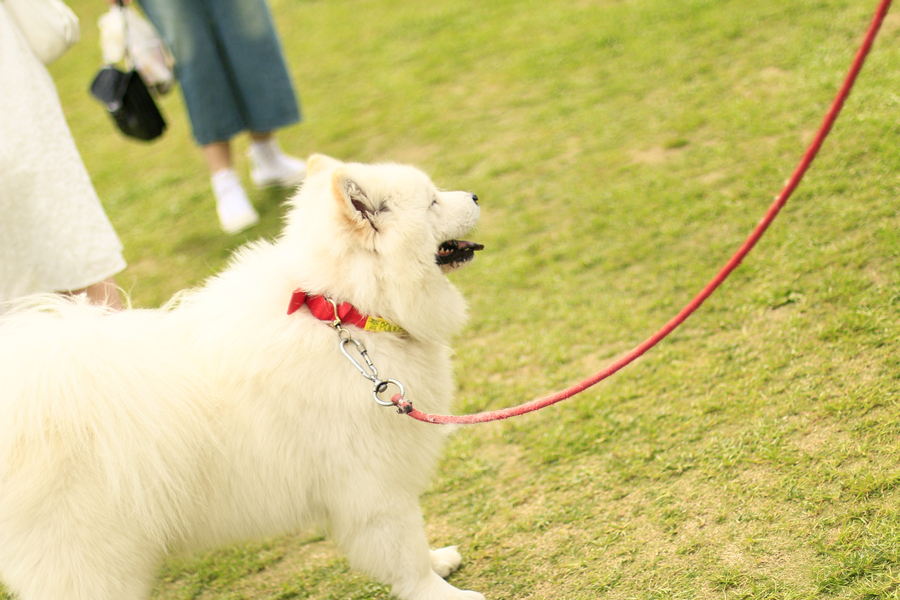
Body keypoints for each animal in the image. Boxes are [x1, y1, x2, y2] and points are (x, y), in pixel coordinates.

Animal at [0, 155, 485, 600]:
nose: (477, 196)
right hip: (90, 562)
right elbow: (404, 552)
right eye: (433, 201)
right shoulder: (373, 487)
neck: (346, 312)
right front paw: (440, 593)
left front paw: (437, 562)